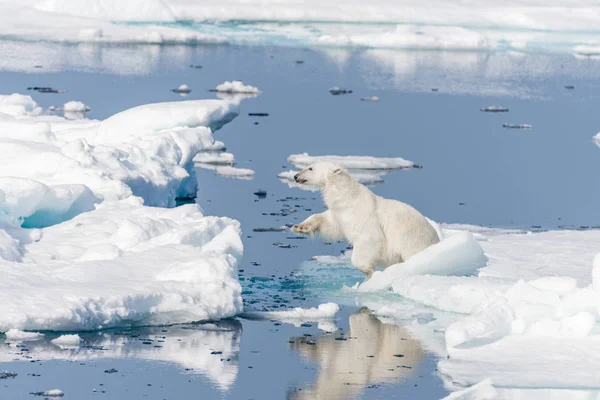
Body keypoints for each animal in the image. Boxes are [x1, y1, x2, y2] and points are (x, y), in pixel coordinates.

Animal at [292, 161, 438, 276]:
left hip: (412, 238)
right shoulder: (340, 214)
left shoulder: (363, 216)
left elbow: (369, 238)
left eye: (310, 168)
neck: (349, 197)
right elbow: (330, 225)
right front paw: (299, 227)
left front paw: (368, 271)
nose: (295, 176)